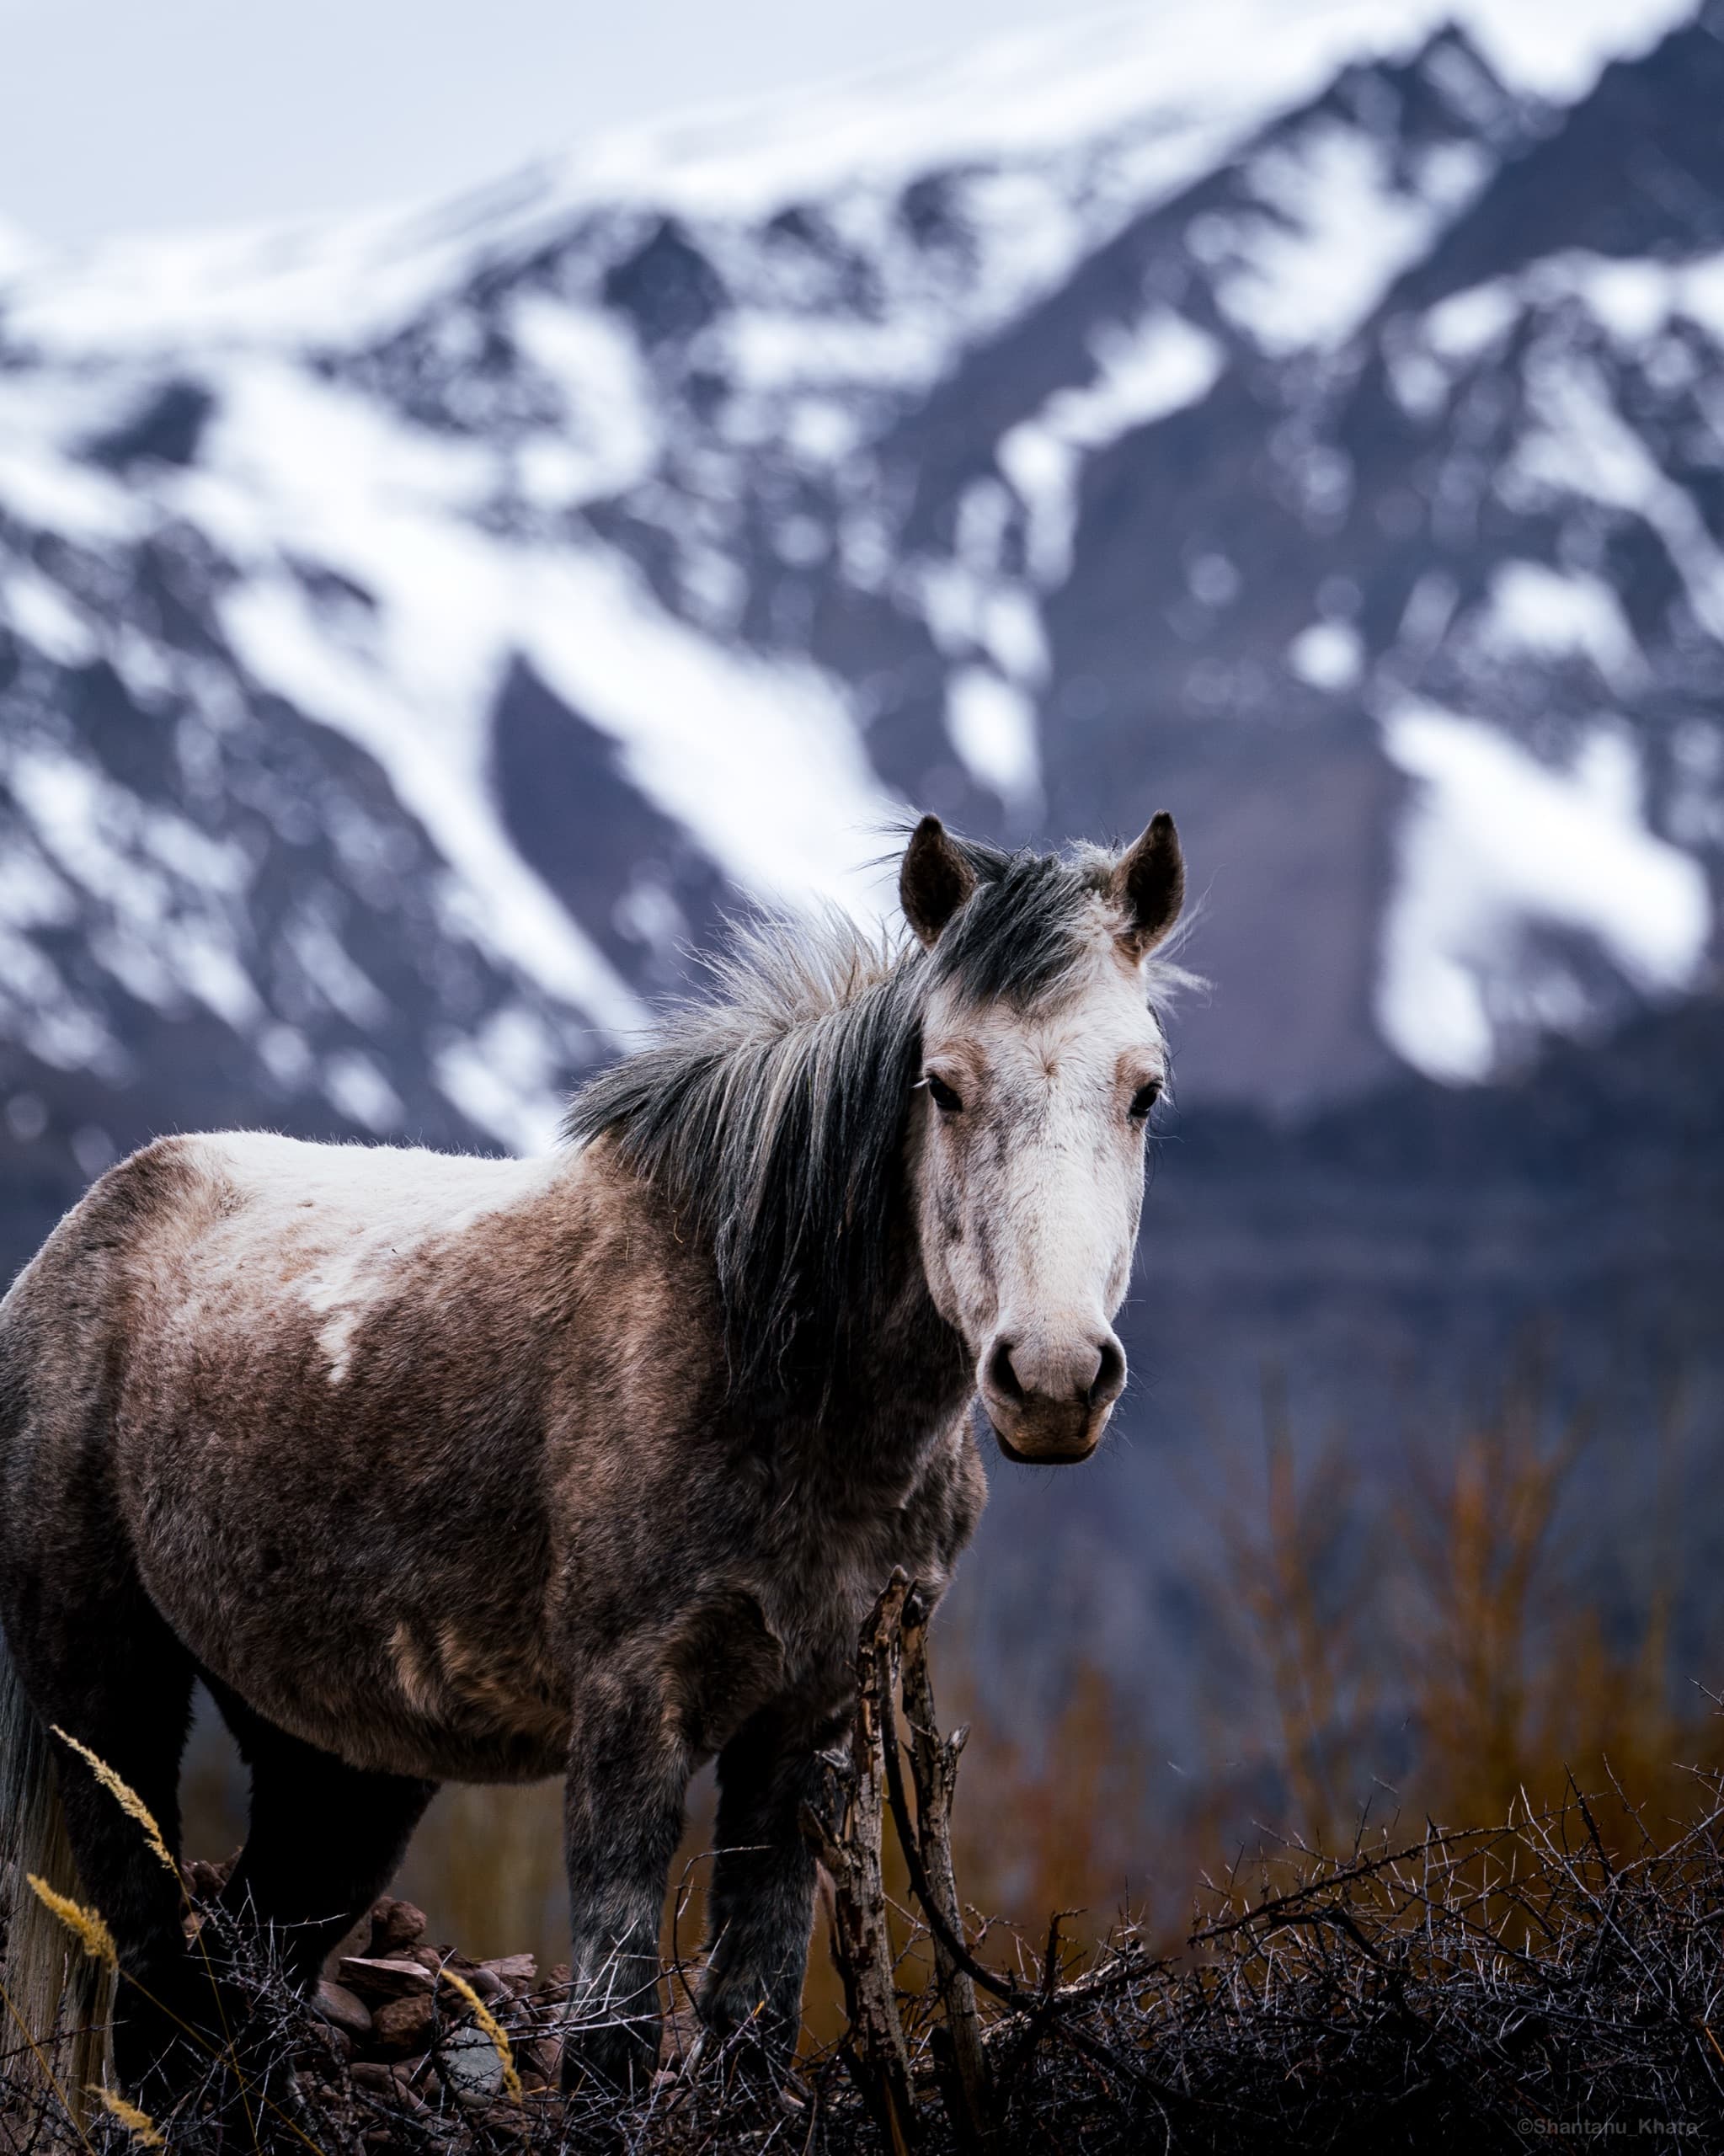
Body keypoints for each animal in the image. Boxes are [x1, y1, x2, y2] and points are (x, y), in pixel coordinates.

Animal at [0, 810, 1185, 2098]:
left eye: (1143, 1092)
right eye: (944, 1084)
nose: (1053, 1378)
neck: (761, 1355)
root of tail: (80, 1232)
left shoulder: (809, 1727)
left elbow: (752, 2016)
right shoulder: (630, 1713)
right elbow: (615, 2031)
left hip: (337, 1761)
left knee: (230, 1982)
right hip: (105, 1702)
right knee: (153, 1980)